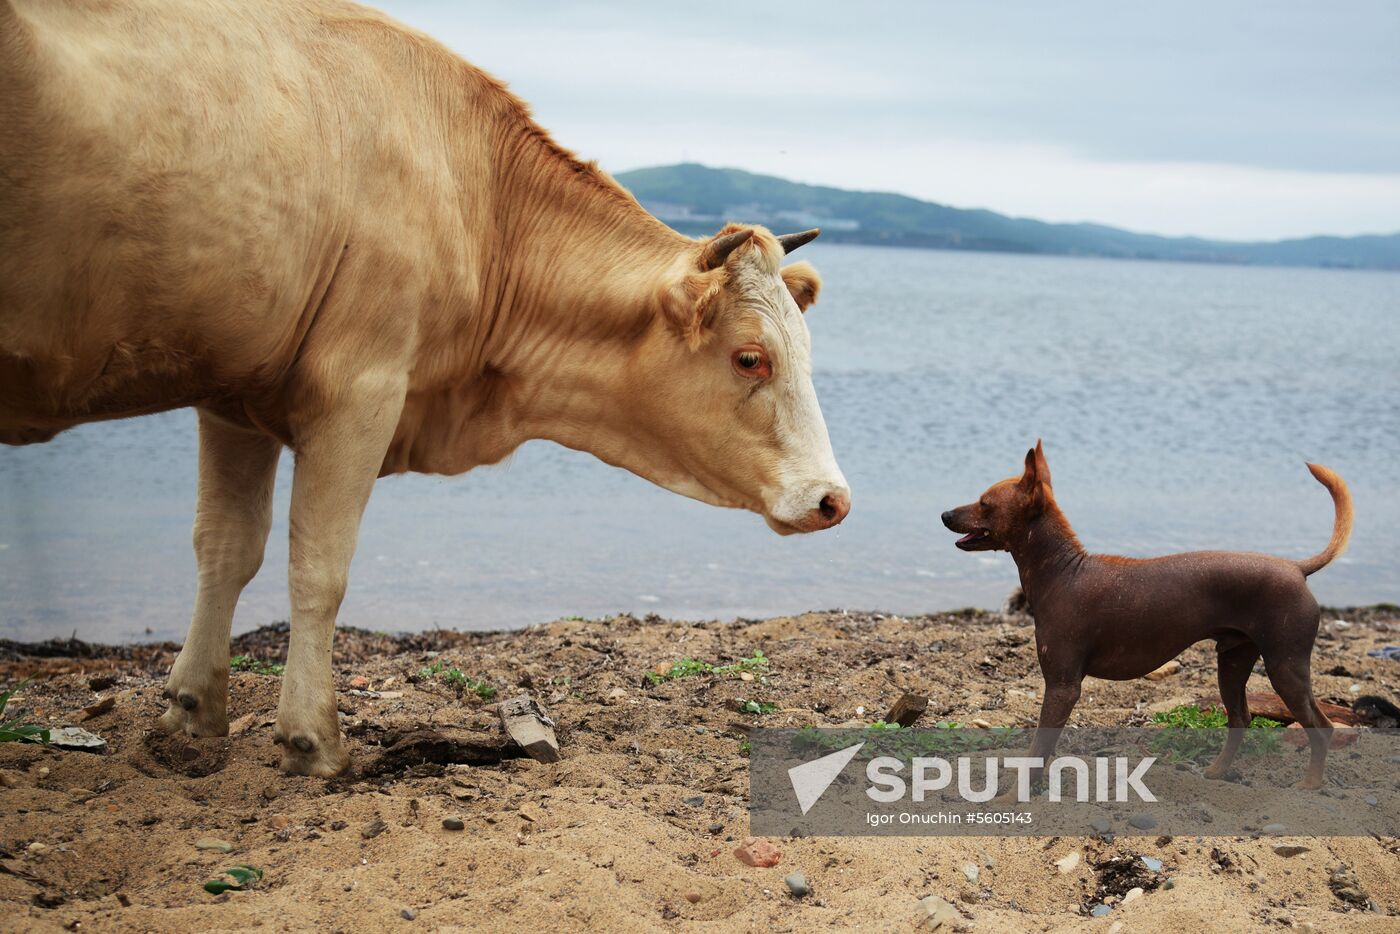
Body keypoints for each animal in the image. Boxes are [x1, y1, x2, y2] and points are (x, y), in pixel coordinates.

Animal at [0, 0, 851, 772]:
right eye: (750, 358)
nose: (833, 499)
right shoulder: (360, 389)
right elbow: (319, 564)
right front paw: (311, 738)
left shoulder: (233, 394)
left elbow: (226, 547)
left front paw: (192, 712)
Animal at [946, 445, 1349, 789]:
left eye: (984, 503)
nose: (944, 514)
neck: (1064, 572)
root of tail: (1296, 568)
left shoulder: (1062, 686)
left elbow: (1037, 751)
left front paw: (1012, 797)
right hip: (1232, 663)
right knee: (1241, 719)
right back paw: (1217, 772)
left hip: (1285, 667)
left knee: (1321, 726)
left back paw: (1311, 784)